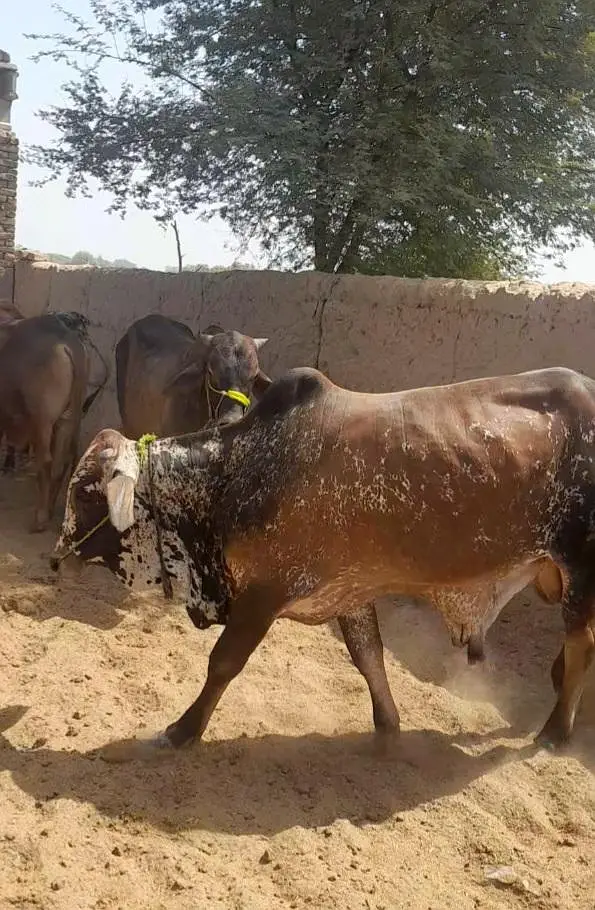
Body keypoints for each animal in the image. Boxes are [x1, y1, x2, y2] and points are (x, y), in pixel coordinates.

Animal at [0, 312, 108, 531]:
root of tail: (68, 344)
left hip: (43, 420)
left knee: (46, 462)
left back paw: (40, 518)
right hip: (68, 417)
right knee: (60, 463)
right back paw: (49, 511)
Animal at [51, 366, 595, 756]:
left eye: (85, 491)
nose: (57, 561)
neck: (236, 472)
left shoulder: (264, 591)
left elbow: (223, 663)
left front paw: (182, 731)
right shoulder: (350, 589)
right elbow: (368, 658)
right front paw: (388, 730)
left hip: (579, 568)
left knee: (581, 647)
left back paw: (554, 732)